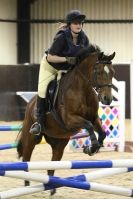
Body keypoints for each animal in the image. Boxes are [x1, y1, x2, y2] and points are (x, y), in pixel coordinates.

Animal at [16, 45, 115, 191]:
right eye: (98, 72)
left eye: (112, 72)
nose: (107, 99)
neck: (82, 89)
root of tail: (30, 104)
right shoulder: (69, 120)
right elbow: (89, 125)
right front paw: (92, 147)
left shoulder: (94, 117)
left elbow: (102, 132)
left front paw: (91, 149)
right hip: (30, 138)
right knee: (26, 159)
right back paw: (27, 184)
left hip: (59, 142)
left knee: (53, 162)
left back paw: (51, 187)